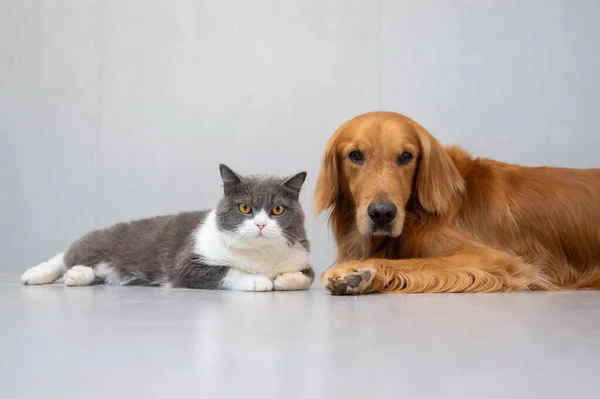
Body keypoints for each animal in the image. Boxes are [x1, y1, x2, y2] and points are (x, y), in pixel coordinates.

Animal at [19, 164, 314, 292]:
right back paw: (37, 274)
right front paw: (259, 280)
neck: (260, 255)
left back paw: (79, 275)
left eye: (278, 210)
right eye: (244, 208)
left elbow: (306, 276)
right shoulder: (188, 264)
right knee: (66, 255)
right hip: (98, 242)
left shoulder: (302, 255)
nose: (261, 223)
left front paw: (285, 278)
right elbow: (226, 270)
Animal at [314, 111, 600, 296]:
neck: (417, 216)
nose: (382, 213)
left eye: (406, 156)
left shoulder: (495, 259)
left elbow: (417, 262)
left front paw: (356, 271)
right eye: (355, 155)